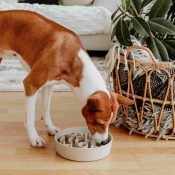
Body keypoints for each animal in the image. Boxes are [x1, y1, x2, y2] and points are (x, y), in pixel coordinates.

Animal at [0, 10, 133, 148]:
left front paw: (50, 127)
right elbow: (30, 118)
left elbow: (46, 109)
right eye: (100, 123)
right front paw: (34, 138)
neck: (72, 57)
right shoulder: (31, 84)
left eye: (110, 123)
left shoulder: (49, 85)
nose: (104, 142)